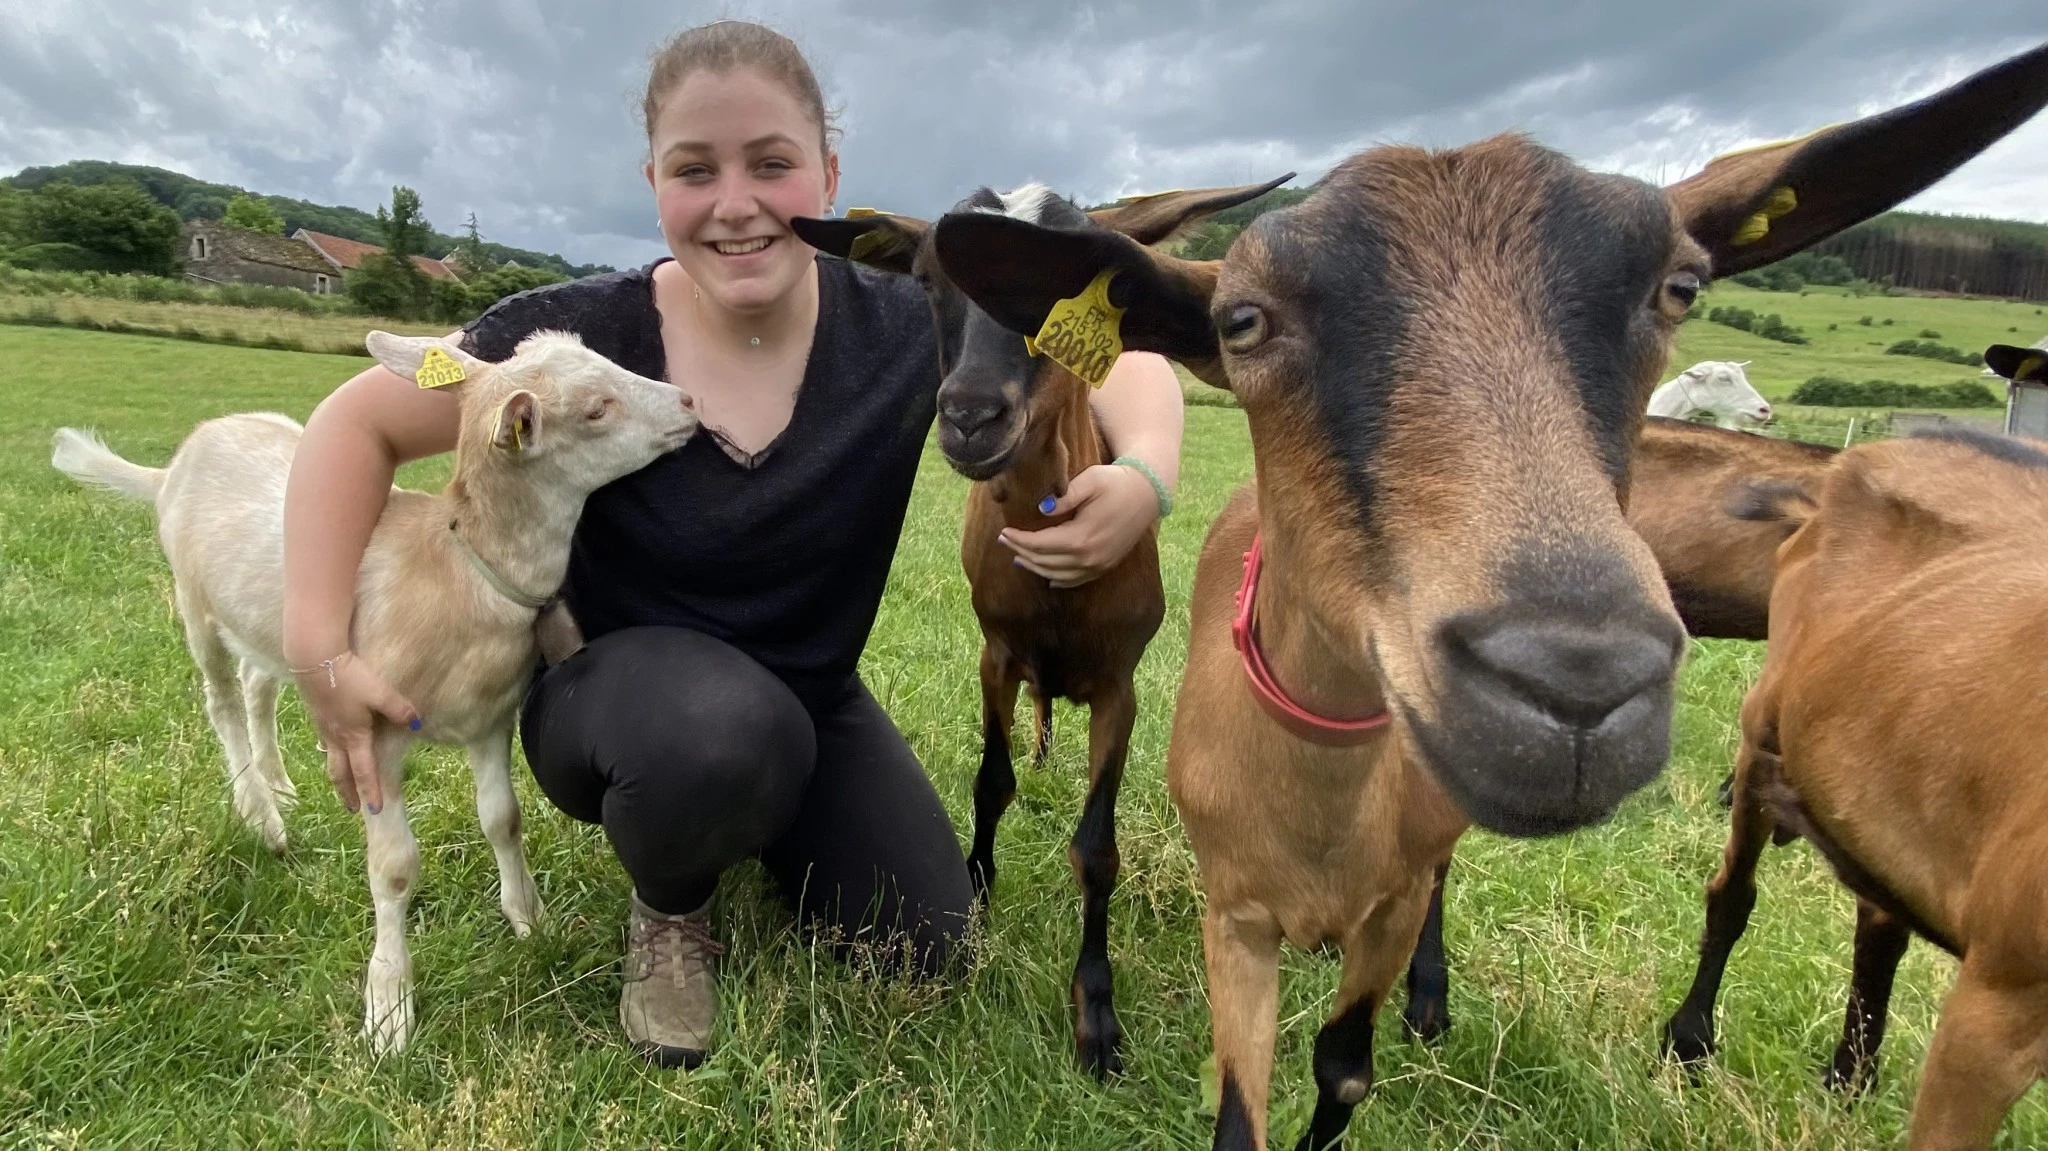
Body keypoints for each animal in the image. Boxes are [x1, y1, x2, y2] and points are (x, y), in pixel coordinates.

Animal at [794, 175, 1286, 1073]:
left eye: (1067, 281)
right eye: (928, 280)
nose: (970, 415)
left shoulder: (1122, 686)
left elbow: (1097, 848)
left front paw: (1097, 1016)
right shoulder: (994, 654)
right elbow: (991, 784)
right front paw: (979, 890)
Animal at [1671, 421, 2048, 1146]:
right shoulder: (1997, 1001)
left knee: (1878, 925)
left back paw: (1850, 1075)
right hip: (1764, 732)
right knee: (1732, 894)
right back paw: (1689, 1042)